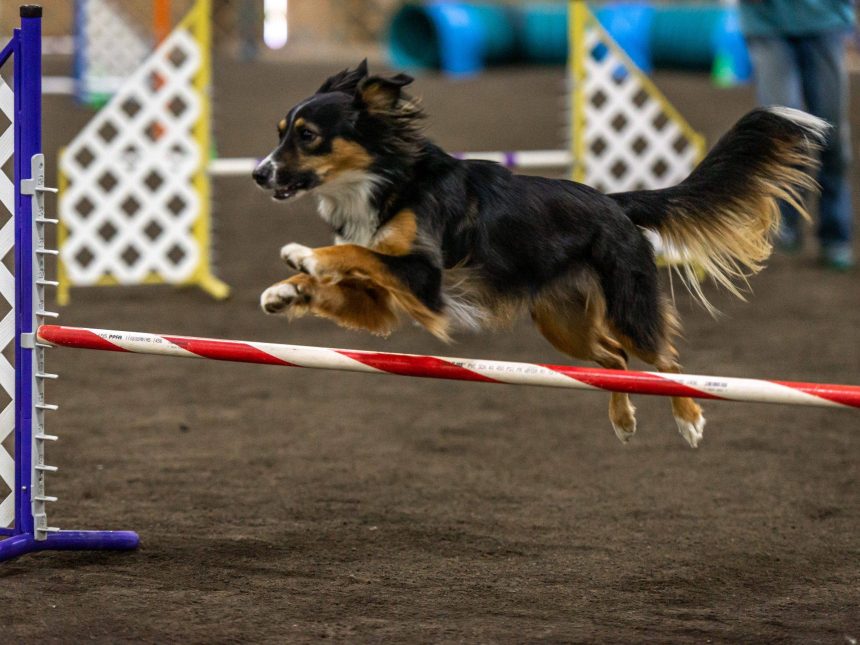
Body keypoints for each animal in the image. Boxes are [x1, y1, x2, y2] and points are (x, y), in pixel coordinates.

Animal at [254, 60, 828, 448]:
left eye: (308, 137)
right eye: (279, 134)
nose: (259, 173)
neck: (385, 180)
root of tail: (614, 202)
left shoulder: (423, 280)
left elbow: (355, 251)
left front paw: (305, 257)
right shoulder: (385, 304)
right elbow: (349, 271)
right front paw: (287, 291)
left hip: (628, 306)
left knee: (662, 360)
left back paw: (689, 419)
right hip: (563, 323)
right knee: (614, 360)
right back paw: (623, 420)